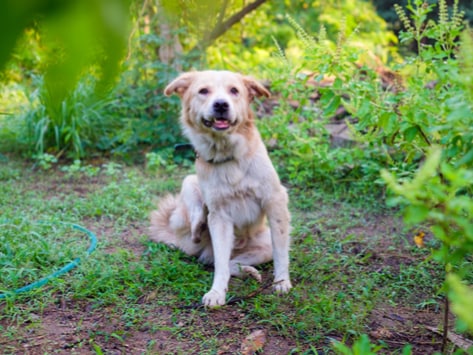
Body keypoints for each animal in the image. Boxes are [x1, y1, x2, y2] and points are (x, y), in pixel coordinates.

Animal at [150, 71, 292, 308]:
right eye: (203, 91)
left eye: (234, 90)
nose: (221, 105)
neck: (227, 156)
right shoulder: (220, 217)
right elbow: (220, 267)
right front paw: (216, 293)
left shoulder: (275, 201)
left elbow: (281, 253)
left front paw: (282, 282)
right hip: (190, 188)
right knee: (217, 257)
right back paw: (199, 226)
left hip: (263, 247)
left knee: (232, 261)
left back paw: (248, 271)